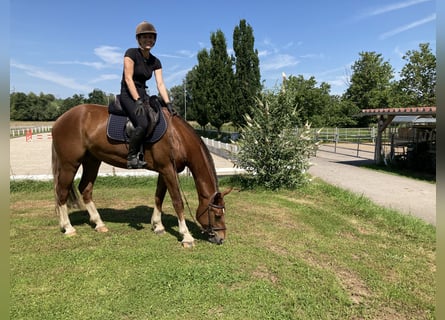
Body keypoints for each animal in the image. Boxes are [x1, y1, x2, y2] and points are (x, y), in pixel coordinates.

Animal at [51, 102, 231, 245]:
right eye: (216, 215)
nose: (221, 238)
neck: (176, 136)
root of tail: (60, 120)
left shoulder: (163, 171)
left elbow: (159, 197)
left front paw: (158, 226)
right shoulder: (168, 170)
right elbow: (177, 201)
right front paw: (186, 236)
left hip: (92, 161)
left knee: (85, 189)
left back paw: (99, 224)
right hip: (69, 164)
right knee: (62, 192)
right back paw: (68, 228)